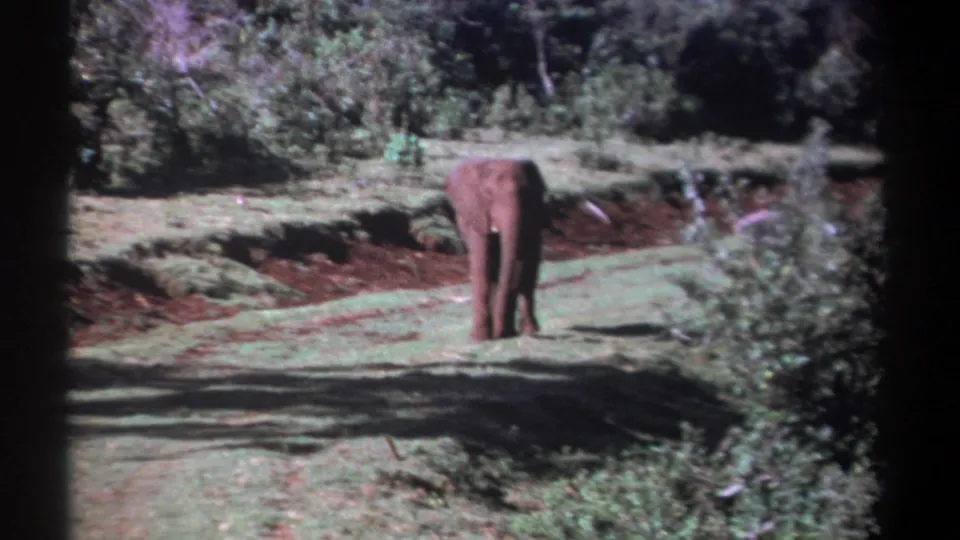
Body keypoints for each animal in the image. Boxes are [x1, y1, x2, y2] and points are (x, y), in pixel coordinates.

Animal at [444, 158, 550, 341]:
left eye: (526, 193)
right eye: (488, 195)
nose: (501, 333)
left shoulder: (533, 213)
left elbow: (528, 264)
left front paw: (519, 332)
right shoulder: (477, 214)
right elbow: (482, 263)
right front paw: (479, 339)